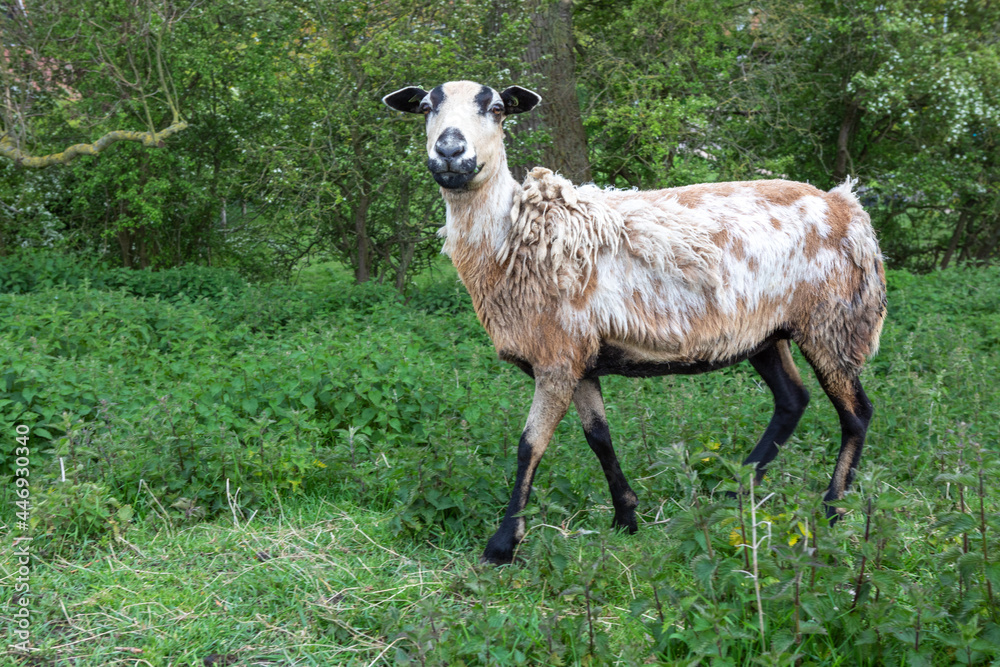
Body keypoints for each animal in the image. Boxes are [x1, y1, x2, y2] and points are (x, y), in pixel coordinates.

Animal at [383, 80, 887, 565]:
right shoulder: (580, 357)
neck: (516, 234)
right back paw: (735, 494)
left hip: (831, 321)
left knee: (856, 414)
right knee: (791, 401)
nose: (450, 150)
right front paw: (626, 517)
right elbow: (599, 437)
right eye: (426, 106)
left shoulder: (557, 356)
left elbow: (530, 445)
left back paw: (832, 511)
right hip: (765, 333)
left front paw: (502, 545)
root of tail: (846, 204)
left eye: (497, 109)